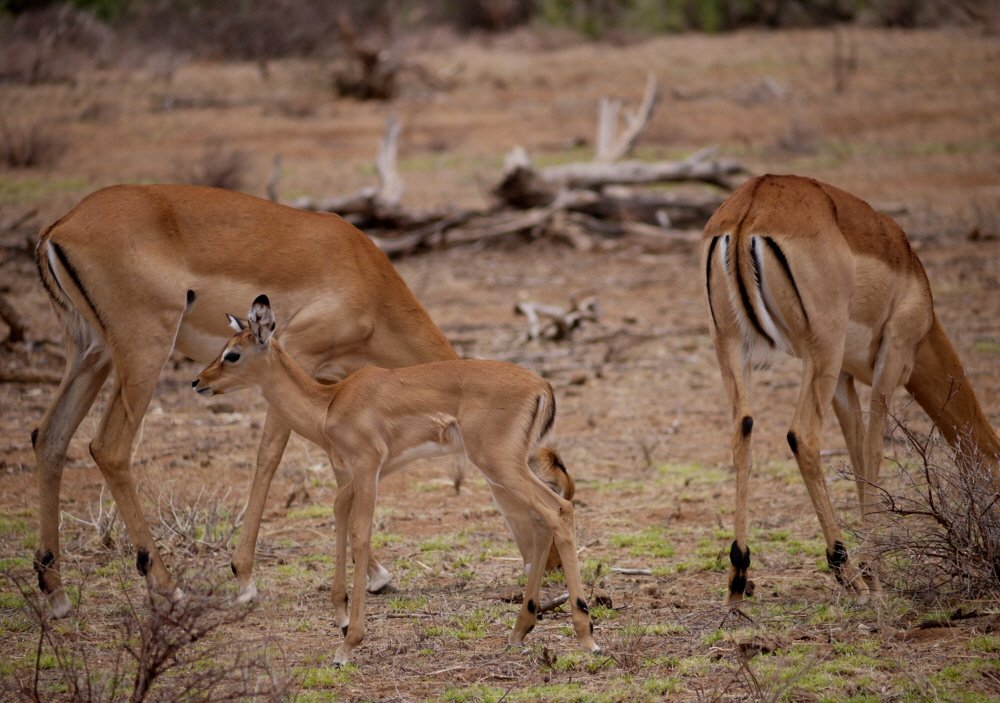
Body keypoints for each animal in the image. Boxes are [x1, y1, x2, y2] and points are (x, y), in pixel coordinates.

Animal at [195, 296, 600, 664]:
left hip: (499, 465)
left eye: (232, 354)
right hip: (507, 469)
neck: (329, 405)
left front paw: (348, 643)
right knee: (541, 519)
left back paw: (587, 638)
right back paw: (520, 630)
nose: (198, 381)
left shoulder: (366, 467)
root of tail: (542, 385)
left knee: (559, 510)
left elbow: (360, 534)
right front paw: (341, 618)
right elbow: (338, 511)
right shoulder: (373, 470)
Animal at [704, 175, 1000, 604]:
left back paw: (738, 579)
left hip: (731, 345)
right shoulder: (890, 362)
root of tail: (753, 201)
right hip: (821, 350)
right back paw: (848, 574)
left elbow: (858, 456)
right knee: (802, 436)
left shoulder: (844, 378)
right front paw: (875, 573)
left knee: (742, 429)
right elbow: (874, 453)